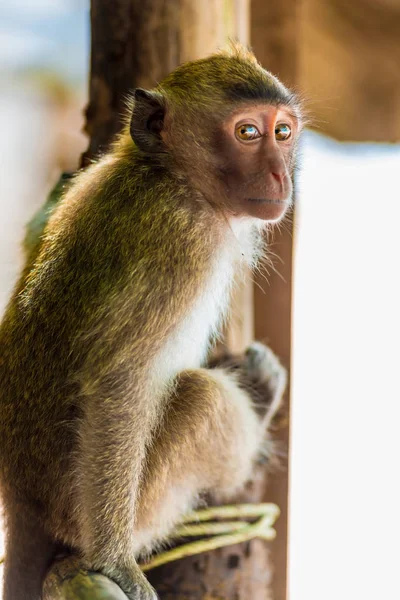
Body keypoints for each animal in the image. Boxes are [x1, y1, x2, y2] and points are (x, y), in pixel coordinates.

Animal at [0, 43, 302, 600]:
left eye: (283, 132)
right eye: (248, 132)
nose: (280, 176)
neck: (164, 173)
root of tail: (22, 498)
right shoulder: (181, 243)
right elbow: (119, 383)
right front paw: (115, 562)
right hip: (117, 507)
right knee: (202, 398)